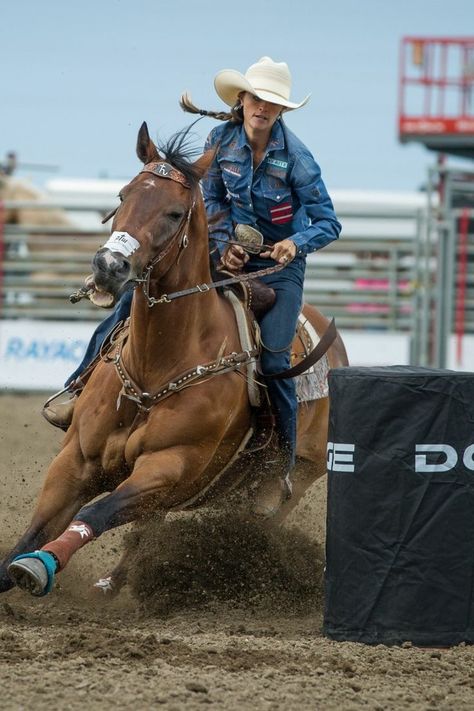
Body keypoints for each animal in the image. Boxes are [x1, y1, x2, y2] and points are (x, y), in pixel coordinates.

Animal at [0, 124, 348, 600]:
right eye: (124, 195)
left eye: (174, 212)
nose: (108, 266)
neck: (154, 370)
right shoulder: (75, 459)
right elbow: (33, 530)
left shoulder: (168, 467)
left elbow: (95, 515)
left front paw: (40, 566)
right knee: (144, 529)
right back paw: (110, 582)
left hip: (289, 485)